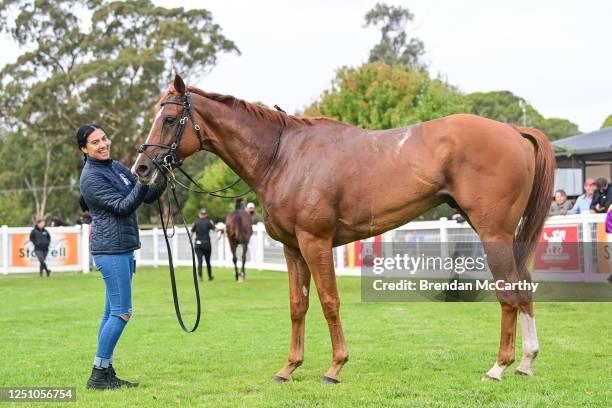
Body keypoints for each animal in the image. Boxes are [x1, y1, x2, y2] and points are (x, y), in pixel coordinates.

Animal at [134, 75, 556, 384]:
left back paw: (499, 366)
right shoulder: (292, 248)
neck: (283, 156)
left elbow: (329, 302)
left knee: (509, 292)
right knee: (523, 285)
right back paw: (526, 362)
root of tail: (513, 131)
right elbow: (298, 305)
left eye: (169, 119)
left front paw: (335, 367)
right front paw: (289, 368)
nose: (142, 168)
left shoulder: (316, 243)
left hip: (493, 233)